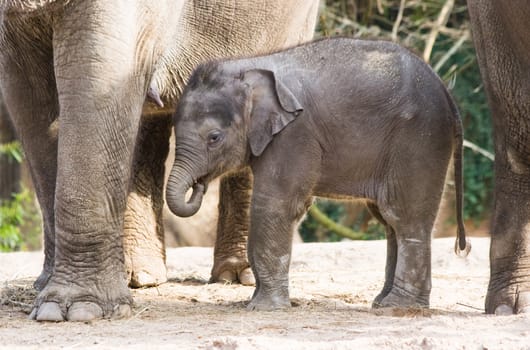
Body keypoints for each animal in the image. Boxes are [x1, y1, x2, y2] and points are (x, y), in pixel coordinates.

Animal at [0, 0, 316, 322]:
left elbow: (97, 80)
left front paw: (78, 309)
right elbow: (29, 99)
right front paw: (48, 295)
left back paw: (239, 276)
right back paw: (138, 276)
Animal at [165, 38, 466, 310]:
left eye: (214, 138)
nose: (199, 185)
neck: (248, 66)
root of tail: (447, 93)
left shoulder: (294, 135)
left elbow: (275, 205)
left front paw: (263, 308)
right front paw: (256, 302)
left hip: (419, 141)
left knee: (404, 218)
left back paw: (400, 306)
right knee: (389, 221)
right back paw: (381, 303)